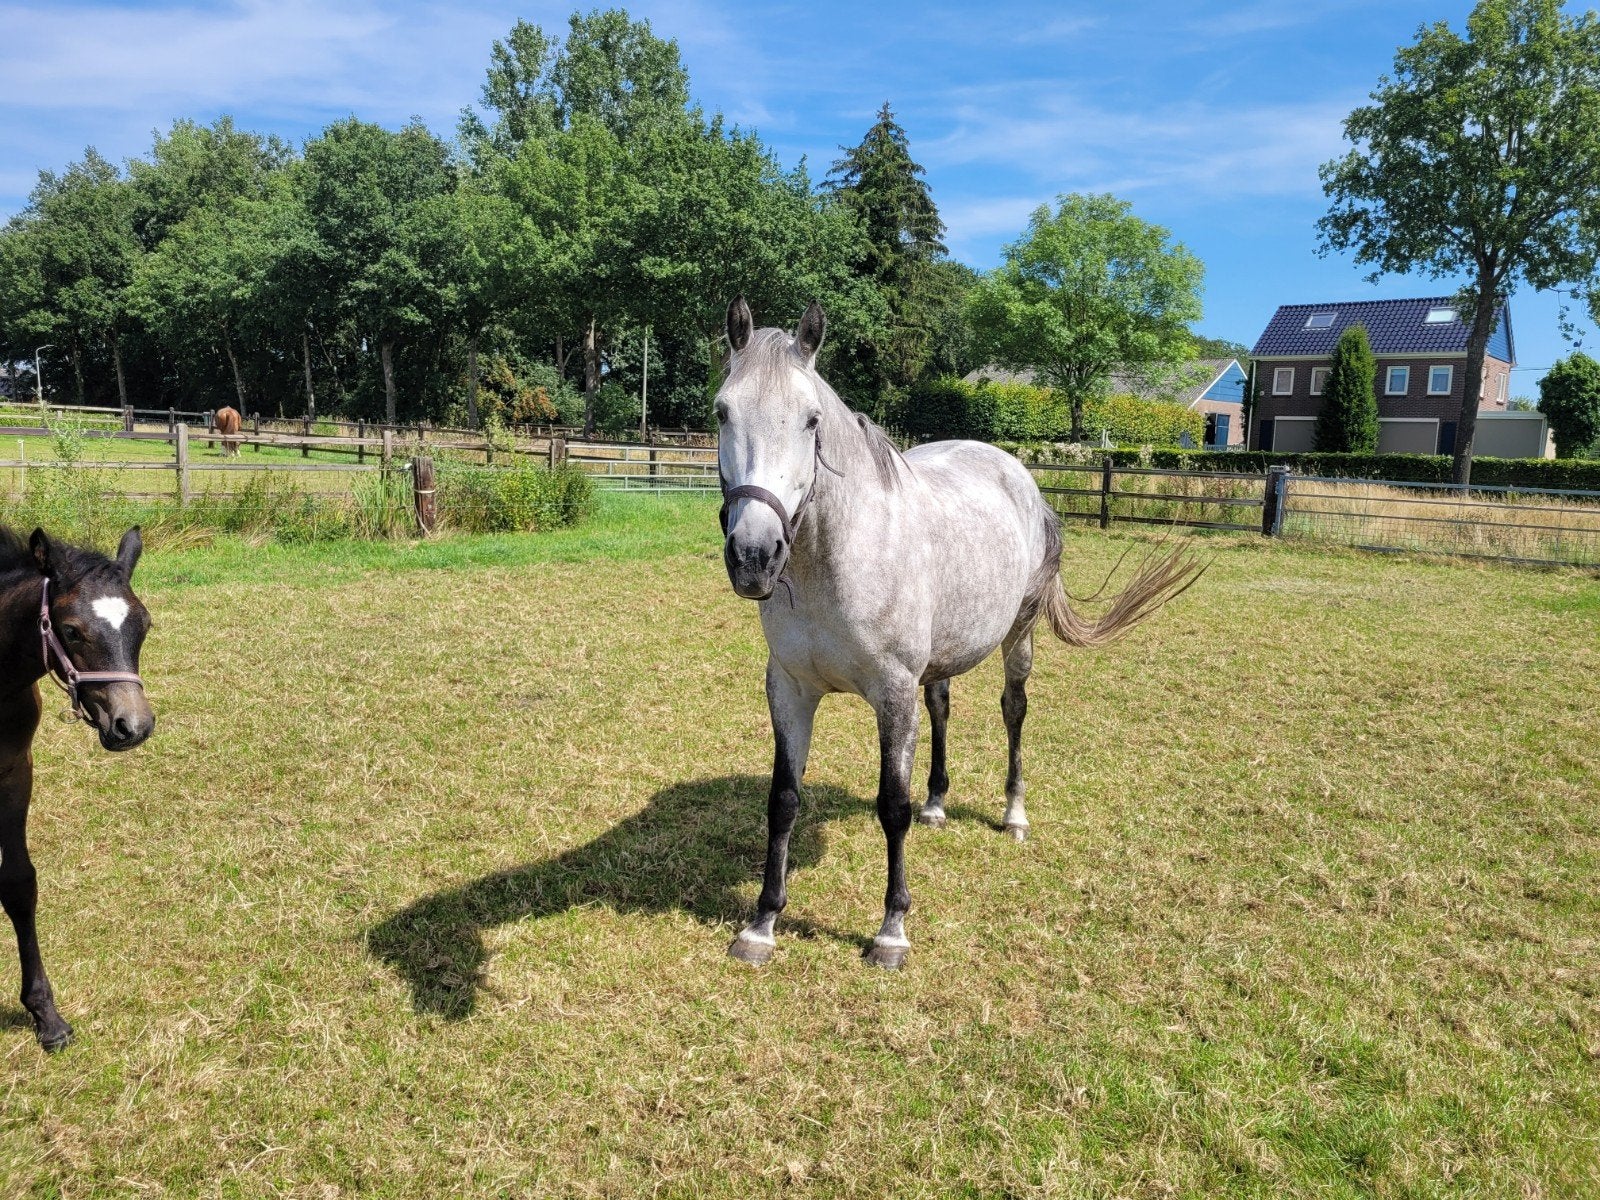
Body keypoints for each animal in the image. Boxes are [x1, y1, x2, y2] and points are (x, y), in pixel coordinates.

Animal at [0, 526, 153, 1050]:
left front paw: (45, 1015)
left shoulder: (14, 771)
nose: (133, 726)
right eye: (70, 630)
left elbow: (19, 883)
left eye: (145, 626)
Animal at [716, 298, 1202, 969]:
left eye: (812, 421)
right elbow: (783, 800)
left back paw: (1014, 814)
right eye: (722, 411)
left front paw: (891, 930)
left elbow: (890, 807)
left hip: (1018, 636)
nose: (755, 555)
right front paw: (762, 923)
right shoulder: (789, 689)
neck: (837, 557)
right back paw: (938, 804)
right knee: (942, 707)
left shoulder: (892, 694)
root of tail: (1017, 473)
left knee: (1014, 710)